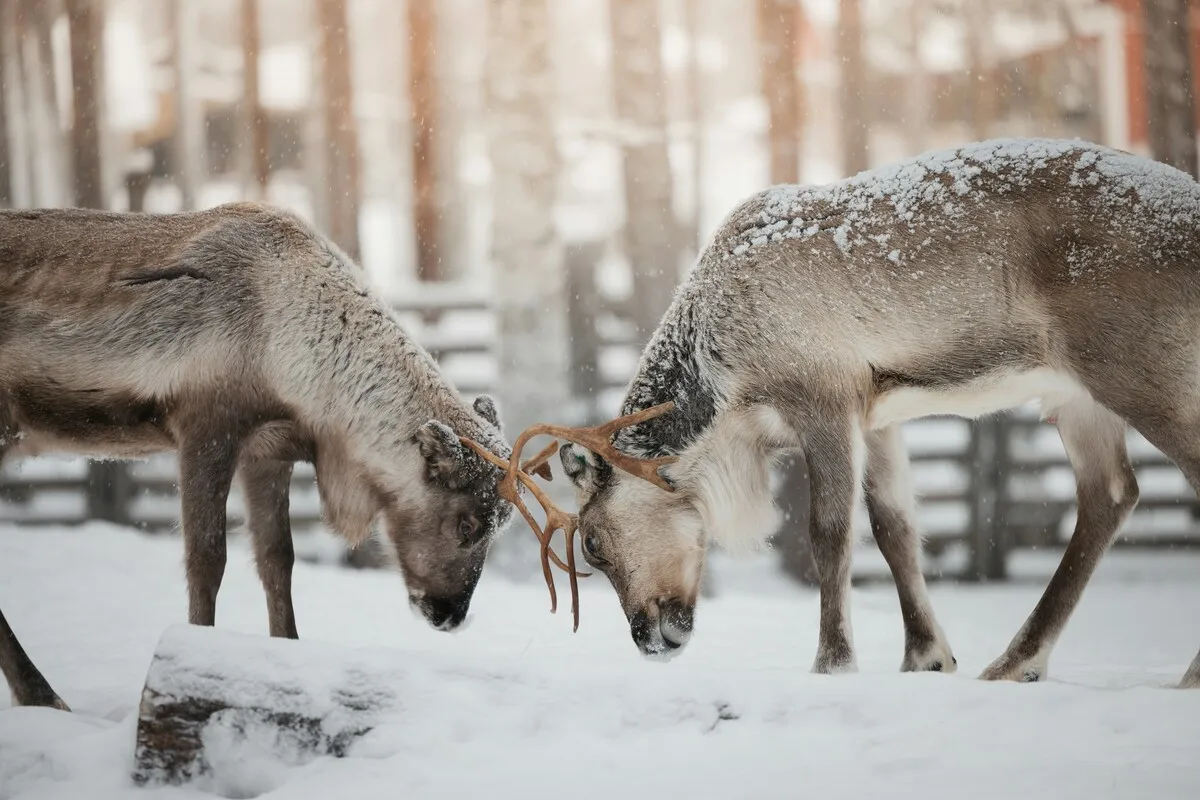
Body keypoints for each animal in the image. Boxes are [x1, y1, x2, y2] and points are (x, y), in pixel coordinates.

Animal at [0, 201, 535, 711]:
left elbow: (278, 560)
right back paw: (43, 695)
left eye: (500, 524)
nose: (450, 616)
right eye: (466, 523)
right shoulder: (206, 427)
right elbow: (207, 559)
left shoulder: (268, 451)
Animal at [487, 138, 1200, 689]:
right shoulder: (879, 413)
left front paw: (833, 663)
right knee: (1111, 493)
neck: (728, 392)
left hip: (1138, 367)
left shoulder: (824, 397)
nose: (651, 639)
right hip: (1077, 396)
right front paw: (925, 658)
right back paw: (1015, 663)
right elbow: (895, 528)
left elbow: (830, 532)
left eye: (594, 543)